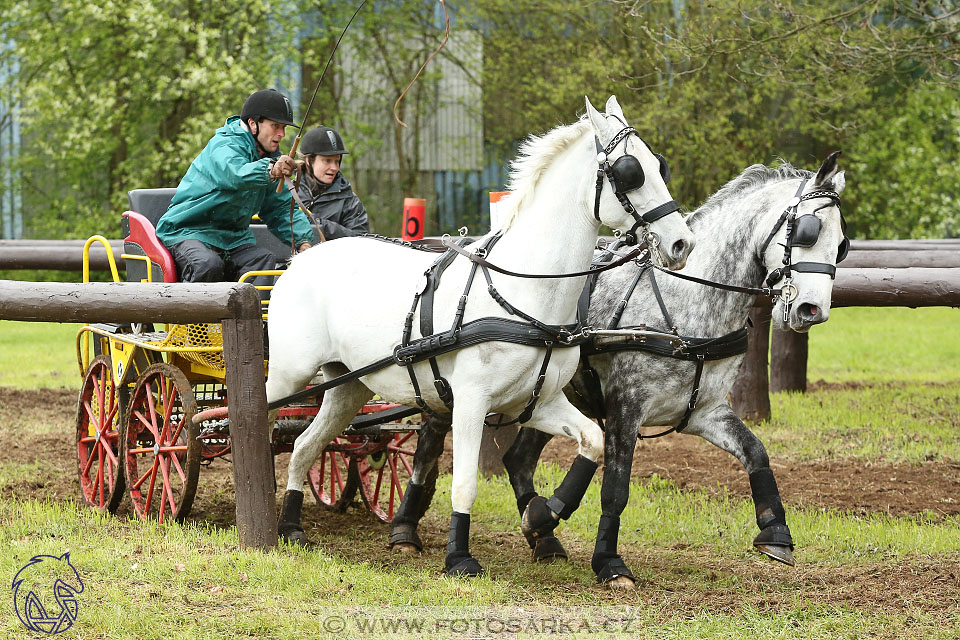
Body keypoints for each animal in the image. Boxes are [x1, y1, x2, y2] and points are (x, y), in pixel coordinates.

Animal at [266, 94, 692, 576]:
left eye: (659, 166)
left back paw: (291, 527)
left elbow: (592, 441)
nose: (682, 243)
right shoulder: (470, 401)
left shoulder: (537, 402)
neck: (525, 292)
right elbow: (466, 482)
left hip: (348, 386)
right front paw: (459, 556)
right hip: (288, 377)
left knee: (304, 446)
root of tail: (302, 257)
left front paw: (543, 517)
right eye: (630, 172)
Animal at [386, 152, 852, 588]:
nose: (812, 310)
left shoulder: (705, 412)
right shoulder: (627, 406)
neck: (683, 303)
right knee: (428, 446)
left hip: (547, 395)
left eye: (842, 244)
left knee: (517, 460)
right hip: (447, 389)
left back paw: (544, 534)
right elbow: (615, 489)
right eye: (808, 231)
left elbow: (756, 452)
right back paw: (405, 528)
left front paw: (776, 533)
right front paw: (609, 562)